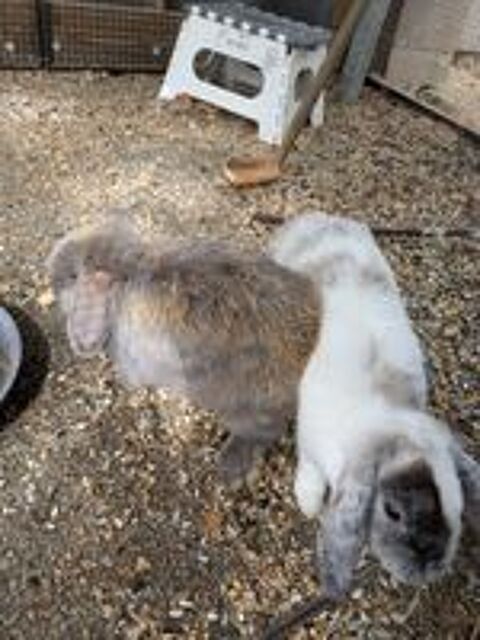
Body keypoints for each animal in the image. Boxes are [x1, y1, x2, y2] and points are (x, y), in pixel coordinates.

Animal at [269, 212, 480, 599]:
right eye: (392, 512)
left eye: (455, 499)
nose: (430, 567)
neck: (383, 417)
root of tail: (316, 218)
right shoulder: (309, 444)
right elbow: (308, 474)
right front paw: (308, 504)